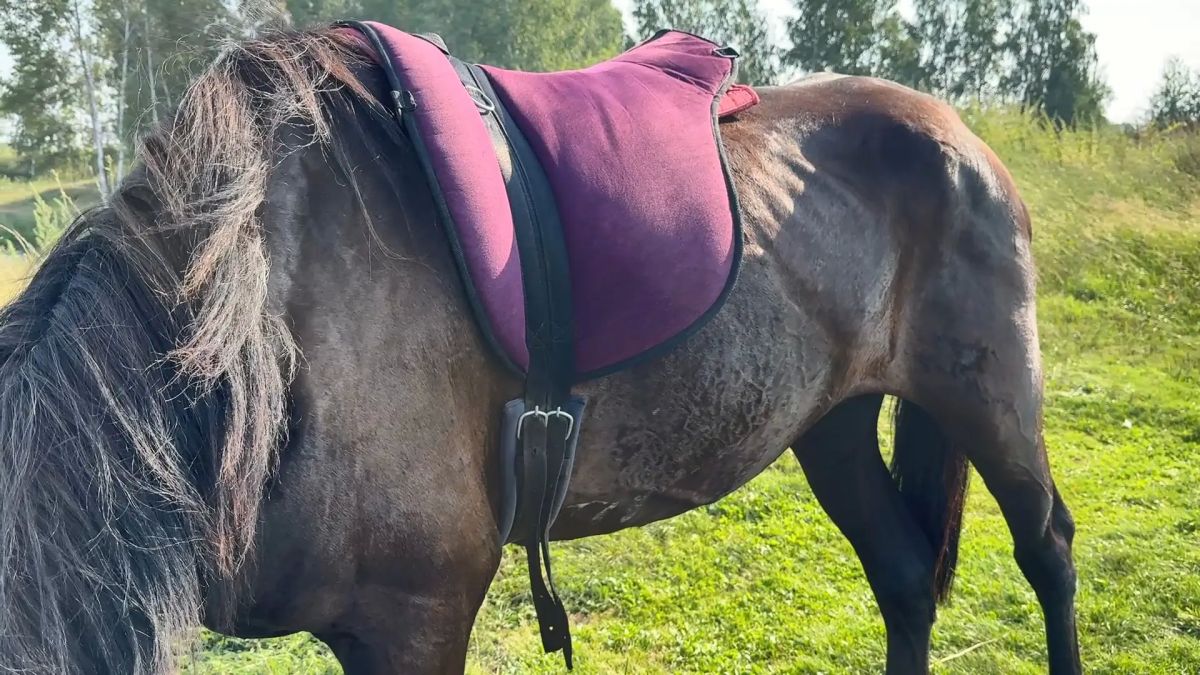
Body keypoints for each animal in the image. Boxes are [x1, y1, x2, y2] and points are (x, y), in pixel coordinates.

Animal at [0, 27, 1080, 674]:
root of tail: (957, 134)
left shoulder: (417, 609)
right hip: (837, 422)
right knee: (902, 577)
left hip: (990, 396)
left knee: (1047, 550)